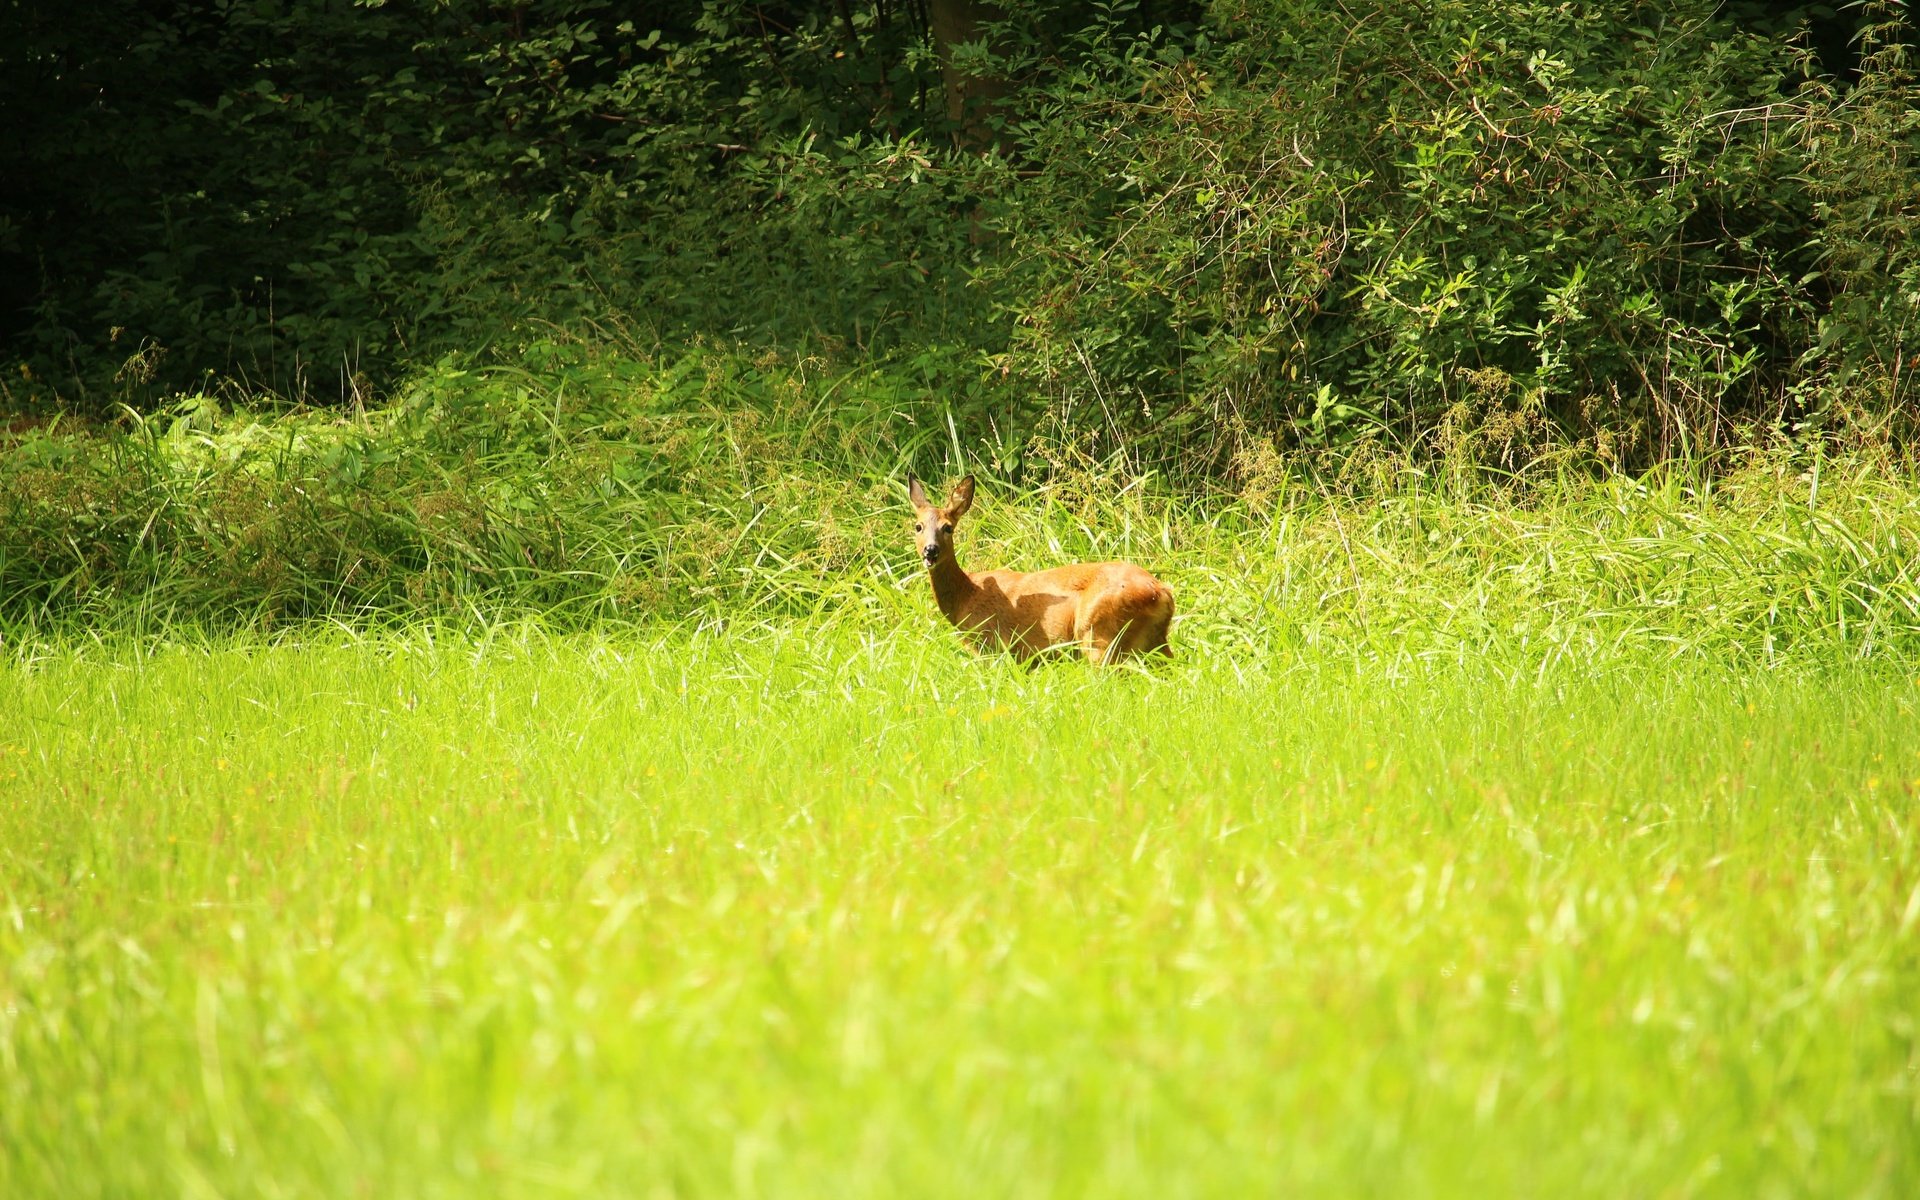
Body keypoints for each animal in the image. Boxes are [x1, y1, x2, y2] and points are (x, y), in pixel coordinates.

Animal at [910, 472, 1175, 664]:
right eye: (918, 526)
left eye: (948, 527)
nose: (930, 550)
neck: (966, 595)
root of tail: (1161, 592)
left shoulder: (992, 647)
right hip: (1154, 643)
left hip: (1098, 634)